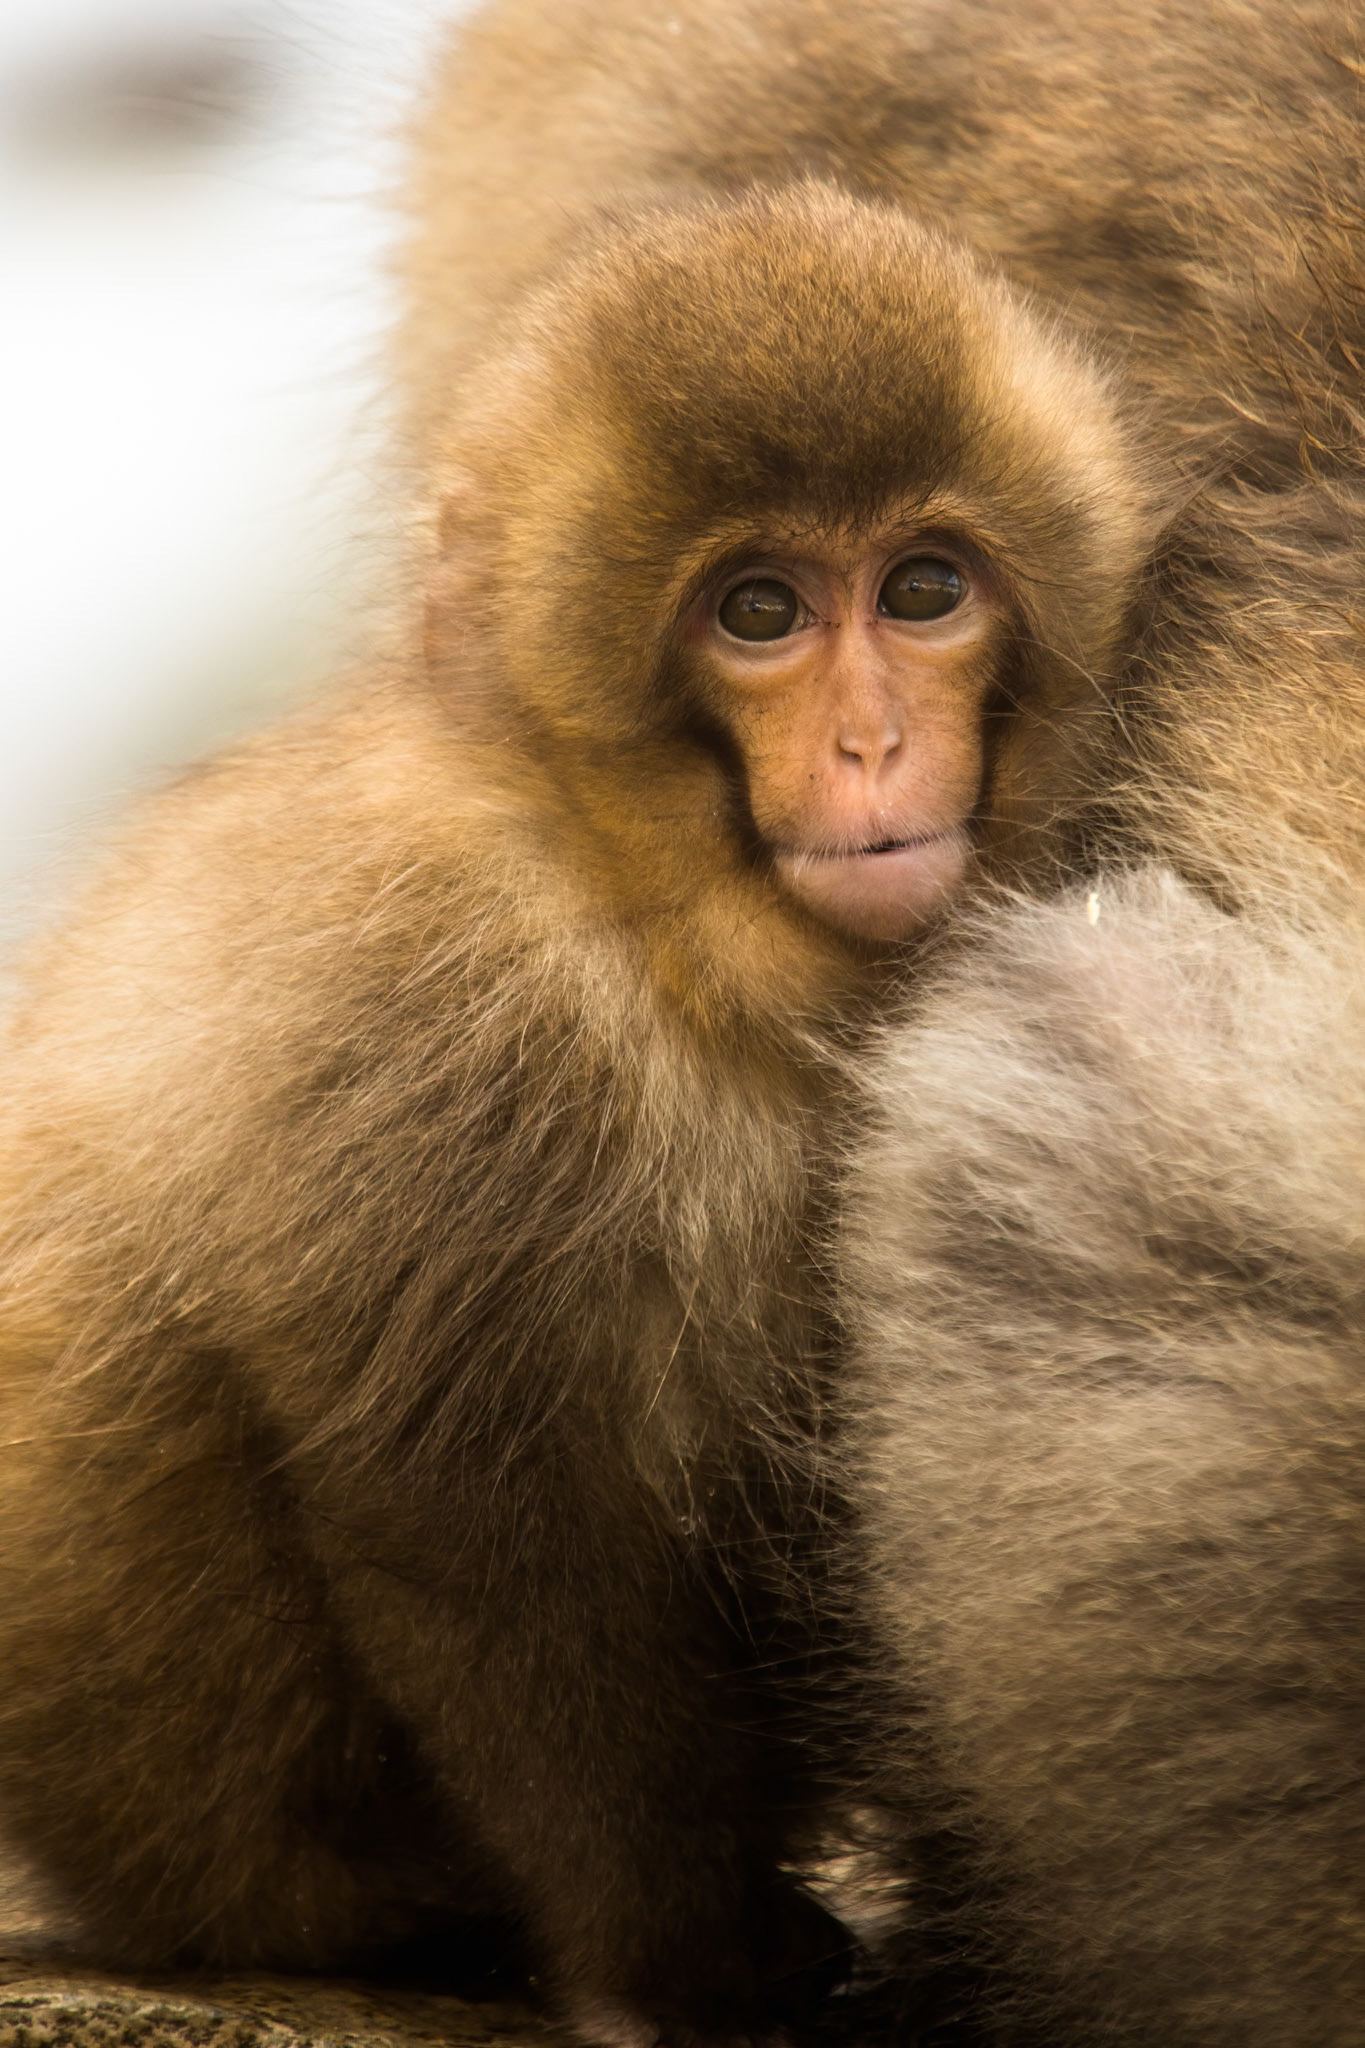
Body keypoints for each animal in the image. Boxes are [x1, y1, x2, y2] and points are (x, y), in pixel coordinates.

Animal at [0, 183, 1152, 2047]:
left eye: (922, 589)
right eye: (757, 612)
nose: (871, 739)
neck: (658, 912)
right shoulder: (431, 1001)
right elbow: (469, 1516)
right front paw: (671, 1964)